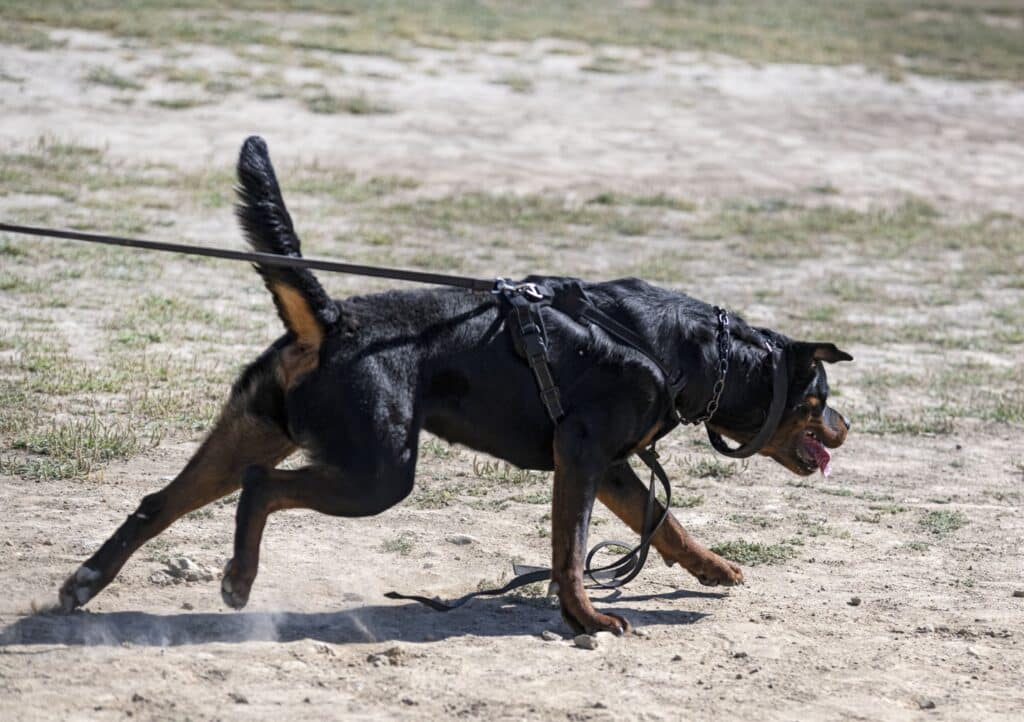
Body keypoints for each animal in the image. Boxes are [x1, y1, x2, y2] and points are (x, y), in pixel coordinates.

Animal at [59, 138, 851, 634]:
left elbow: (666, 523)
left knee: (159, 502)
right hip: (377, 472)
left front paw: (713, 568)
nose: (845, 429)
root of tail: (331, 321)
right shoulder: (583, 458)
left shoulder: (614, 467)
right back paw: (239, 579)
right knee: (262, 488)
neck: (692, 352)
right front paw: (585, 619)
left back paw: (87, 582)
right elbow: (571, 553)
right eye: (817, 400)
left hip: (251, 430)